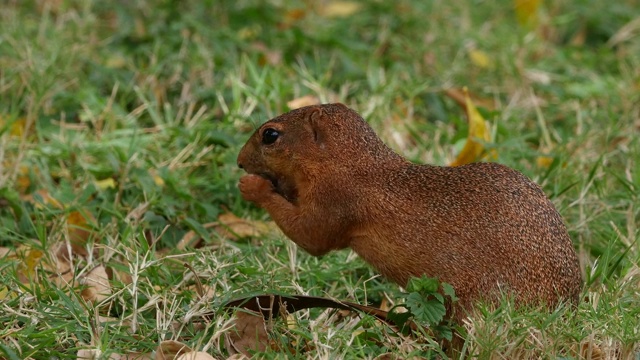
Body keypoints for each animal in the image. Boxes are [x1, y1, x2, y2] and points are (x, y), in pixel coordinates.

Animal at [238, 102, 584, 320]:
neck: (352, 163)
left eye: (270, 134)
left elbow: (312, 237)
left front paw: (254, 187)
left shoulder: (337, 200)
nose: (240, 161)